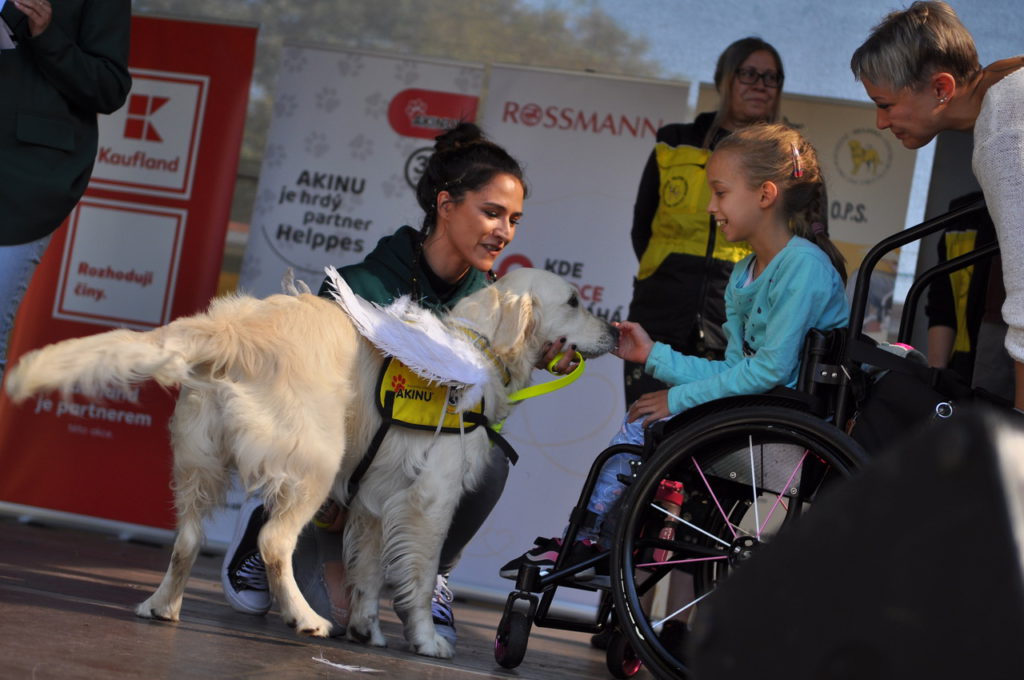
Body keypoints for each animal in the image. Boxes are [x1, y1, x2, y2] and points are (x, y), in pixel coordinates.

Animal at [4, 266, 614, 659]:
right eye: (575, 301)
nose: (615, 329)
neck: (478, 347)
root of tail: (231, 326)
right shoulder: (429, 499)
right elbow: (417, 576)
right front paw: (425, 639)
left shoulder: (375, 502)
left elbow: (368, 574)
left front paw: (366, 630)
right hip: (316, 462)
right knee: (274, 540)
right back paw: (305, 618)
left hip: (198, 464)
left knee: (187, 540)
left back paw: (162, 606)